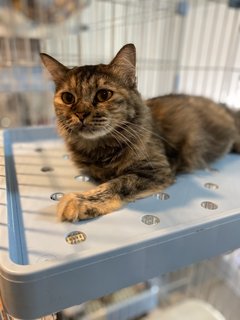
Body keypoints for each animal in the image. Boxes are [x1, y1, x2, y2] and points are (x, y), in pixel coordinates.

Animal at [39, 43, 240, 221]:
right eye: (68, 98)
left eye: (103, 95)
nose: (81, 114)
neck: (99, 148)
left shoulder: (156, 169)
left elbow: (118, 183)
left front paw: (81, 201)